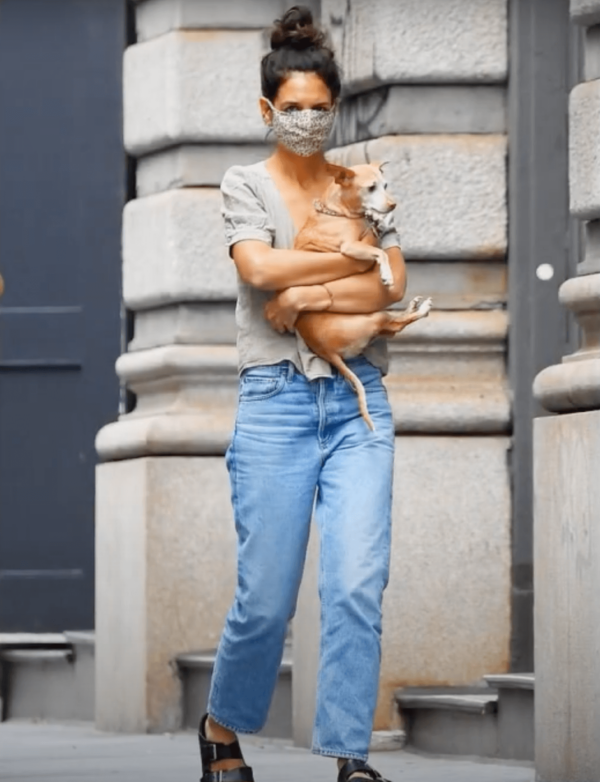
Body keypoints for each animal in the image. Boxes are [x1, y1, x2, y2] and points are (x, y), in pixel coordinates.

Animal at [292, 162, 428, 432]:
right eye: (371, 188)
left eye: (385, 185)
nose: (392, 205)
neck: (337, 211)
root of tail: (327, 352)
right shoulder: (350, 248)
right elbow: (379, 252)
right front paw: (386, 274)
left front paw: (377, 220)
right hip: (370, 319)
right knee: (395, 324)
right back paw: (420, 309)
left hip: (373, 319)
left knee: (393, 325)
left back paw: (414, 306)